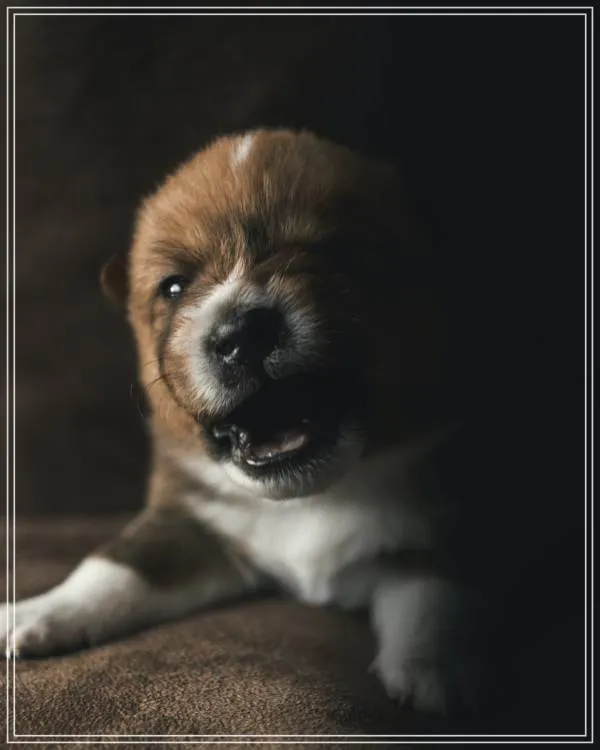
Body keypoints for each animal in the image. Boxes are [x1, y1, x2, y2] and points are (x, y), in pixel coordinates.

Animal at [2, 129, 500, 715]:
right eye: (174, 287)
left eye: (334, 253)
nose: (243, 335)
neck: (308, 500)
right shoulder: (190, 519)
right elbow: (116, 564)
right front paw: (37, 610)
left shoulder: (445, 510)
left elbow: (435, 585)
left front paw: (437, 665)